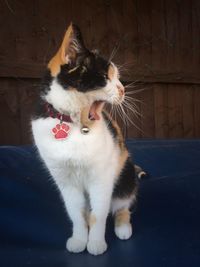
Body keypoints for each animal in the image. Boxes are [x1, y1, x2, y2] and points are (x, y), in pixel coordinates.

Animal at [32, 24, 140, 256]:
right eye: (106, 76)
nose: (122, 89)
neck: (72, 126)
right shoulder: (65, 181)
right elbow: (77, 214)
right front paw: (80, 240)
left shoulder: (101, 178)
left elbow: (99, 214)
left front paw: (96, 243)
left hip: (126, 175)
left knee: (122, 205)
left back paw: (123, 227)